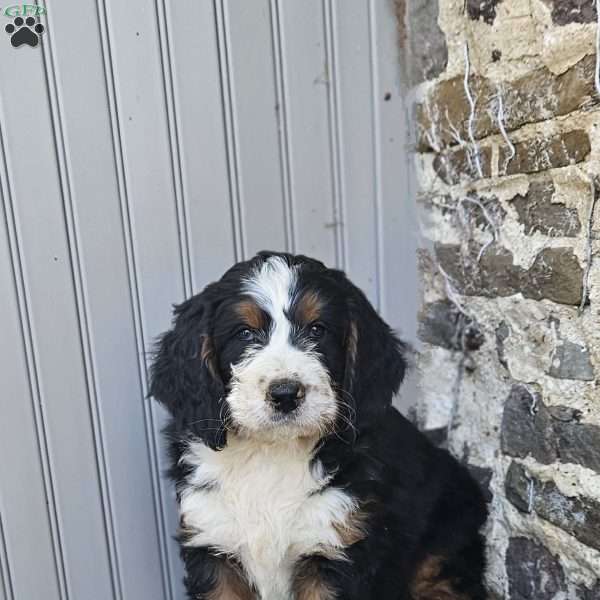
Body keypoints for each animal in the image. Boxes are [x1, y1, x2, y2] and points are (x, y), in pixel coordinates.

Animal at [150, 252, 488, 600]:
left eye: (317, 329)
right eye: (244, 333)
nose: (285, 394)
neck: (271, 455)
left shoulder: (337, 547)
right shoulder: (212, 545)